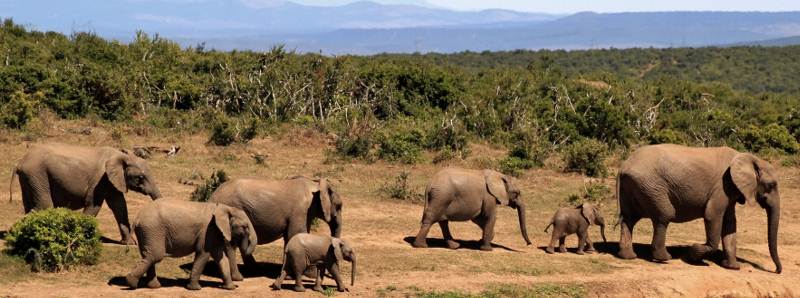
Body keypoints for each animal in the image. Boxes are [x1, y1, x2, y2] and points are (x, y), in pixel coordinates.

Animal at [10, 143, 161, 243]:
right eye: (141, 177)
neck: (121, 156)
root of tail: (20, 162)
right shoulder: (101, 179)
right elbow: (94, 205)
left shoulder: (113, 181)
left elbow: (119, 206)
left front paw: (129, 243)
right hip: (37, 175)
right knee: (44, 206)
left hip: (30, 178)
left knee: (30, 206)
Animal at [126, 199, 256, 290]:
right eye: (245, 227)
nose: (239, 284)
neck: (224, 208)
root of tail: (137, 217)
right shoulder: (207, 231)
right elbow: (203, 254)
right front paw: (195, 289)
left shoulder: (214, 233)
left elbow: (220, 257)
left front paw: (230, 288)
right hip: (153, 230)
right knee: (155, 255)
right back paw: (131, 282)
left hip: (148, 232)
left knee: (148, 255)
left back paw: (154, 286)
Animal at [208, 175, 342, 280]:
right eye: (339, 206)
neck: (314, 183)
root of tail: (212, 196)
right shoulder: (300, 211)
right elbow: (296, 234)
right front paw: (310, 275)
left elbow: (290, 237)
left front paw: (290, 275)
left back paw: (254, 269)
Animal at [620, 143, 780, 274]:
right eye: (771, 185)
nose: (776, 271)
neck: (748, 157)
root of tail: (624, 166)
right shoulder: (722, 186)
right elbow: (712, 215)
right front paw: (692, 254)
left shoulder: (730, 190)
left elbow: (730, 224)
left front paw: (732, 267)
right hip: (651, 187)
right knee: (664, 216)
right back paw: (664, 258)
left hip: (636, 186)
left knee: (629, 219)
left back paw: (628, 256)